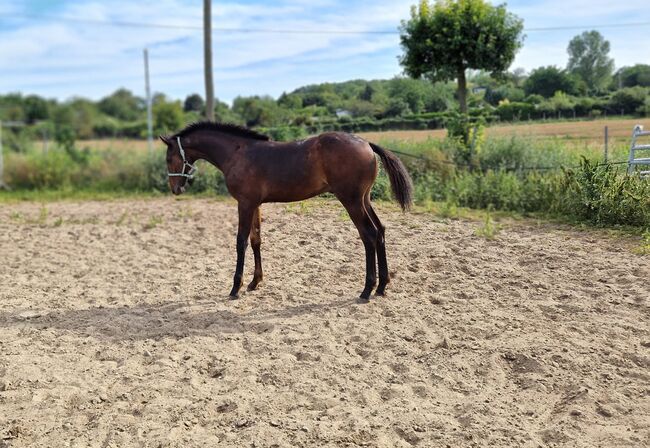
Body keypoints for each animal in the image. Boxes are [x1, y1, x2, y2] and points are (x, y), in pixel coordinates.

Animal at [161, 121, 410, 300]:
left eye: (169, 158)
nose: (176, 189)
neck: (238, 153)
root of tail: (366, 144)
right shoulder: (255, 204)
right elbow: (256, 240)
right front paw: (255, 282)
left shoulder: (245, 203)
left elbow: (241, 242)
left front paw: (235, 287)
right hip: (364, 199)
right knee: (380, 231)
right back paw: (382, 286)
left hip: (351, 201)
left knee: (369, 235)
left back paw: (367, 289)